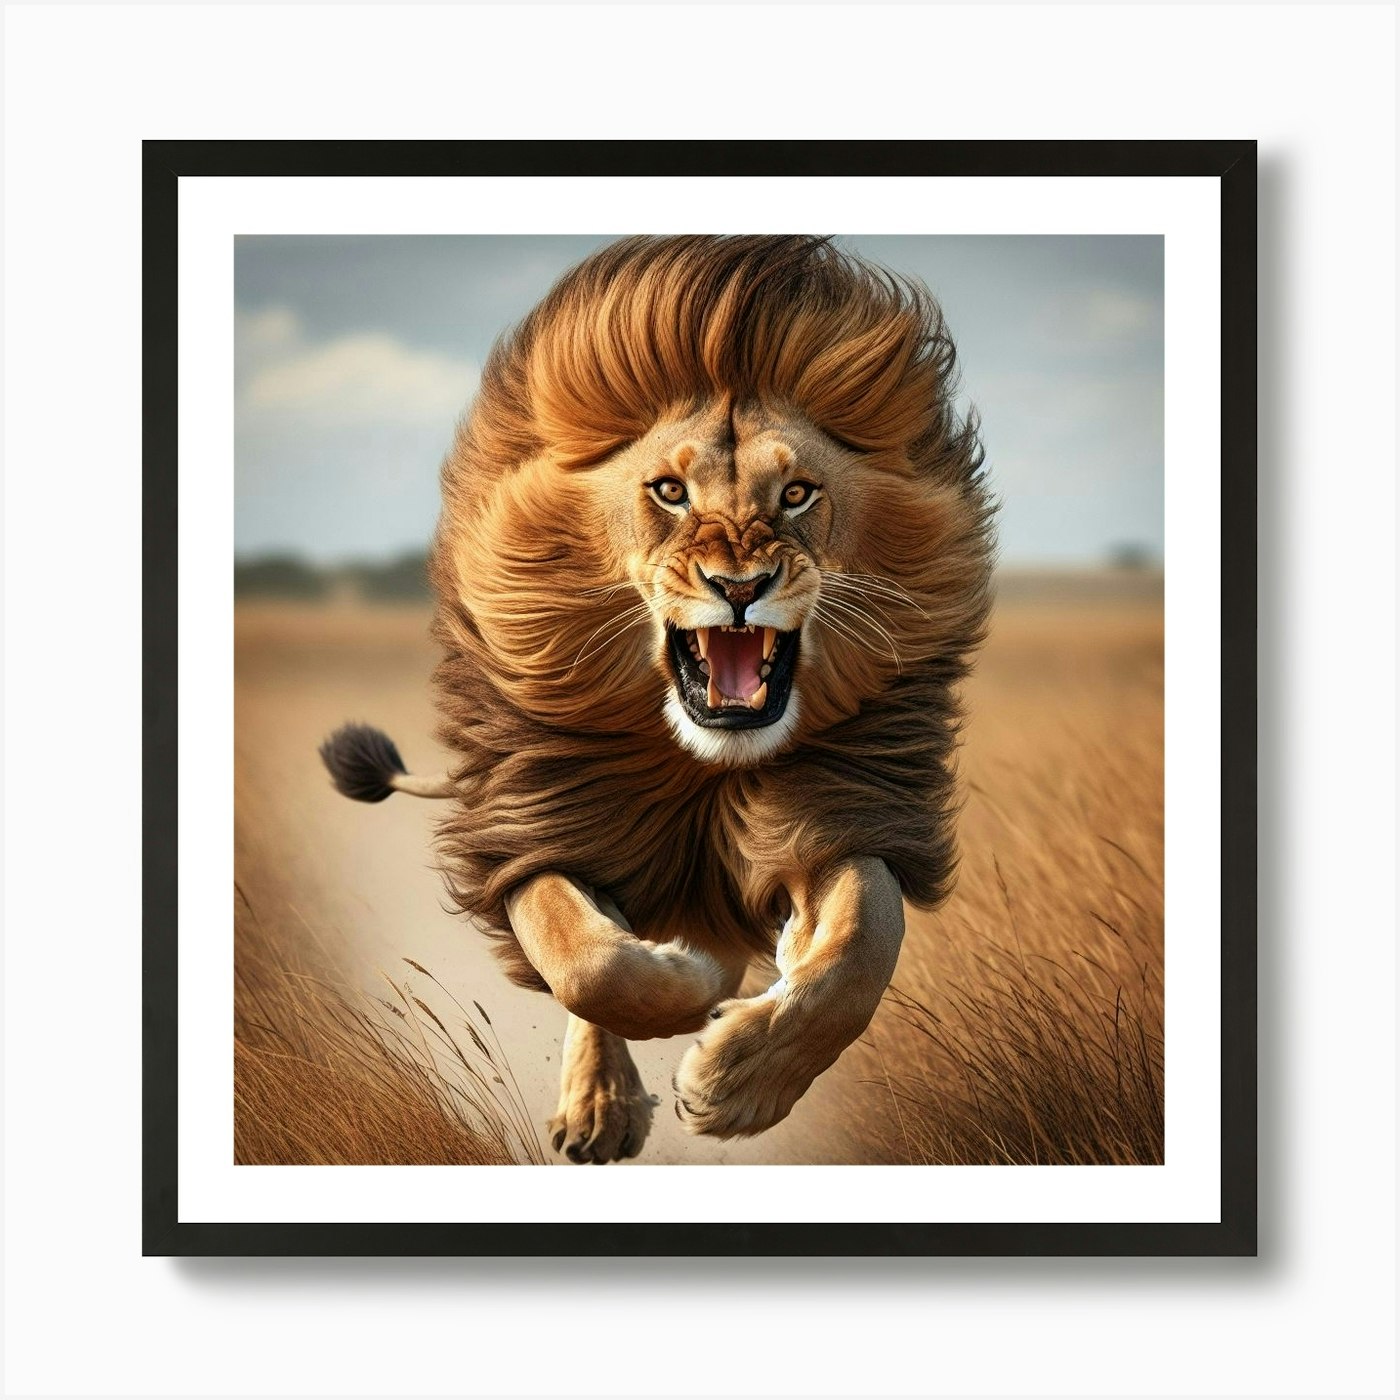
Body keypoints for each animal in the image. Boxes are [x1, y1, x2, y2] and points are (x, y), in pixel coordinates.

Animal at [320, 235, 995, 1163]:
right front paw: (689, 985)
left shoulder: (838, 807)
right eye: (669, 492)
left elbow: (861, 946)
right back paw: (601, 1102)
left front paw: (738, 1082)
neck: (700, 771)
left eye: (797, 493)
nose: (740, 586)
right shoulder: (546, 816)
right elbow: (592, 963)